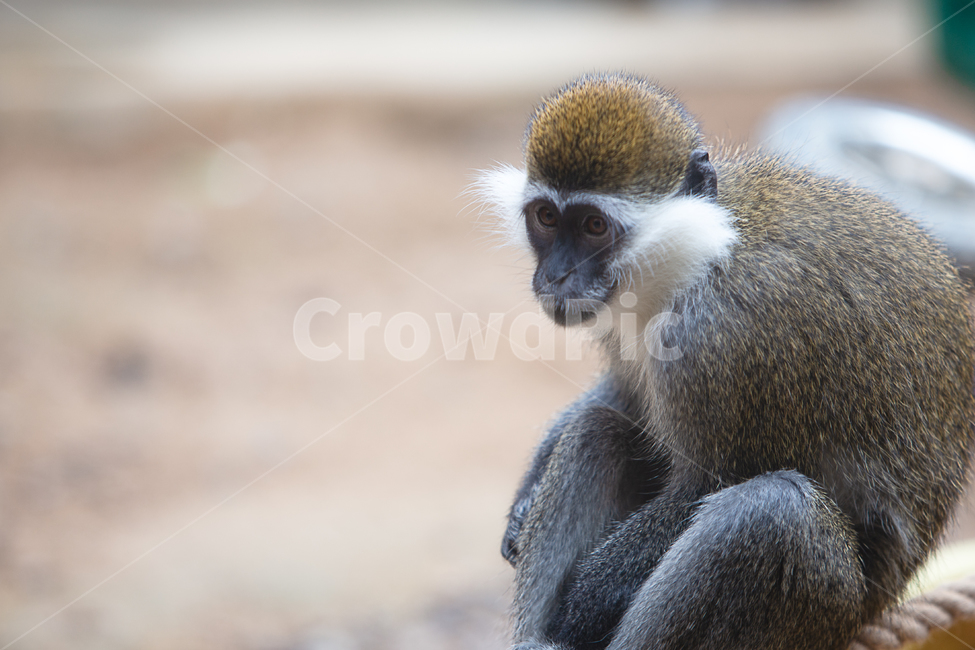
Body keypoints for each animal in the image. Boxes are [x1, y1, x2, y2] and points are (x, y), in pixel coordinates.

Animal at [476, 73, 975, 650]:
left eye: (595, 227)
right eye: (547, 218)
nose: (556, 276)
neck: (695, 258)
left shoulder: (720, 335)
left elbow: (703, 487)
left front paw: (582, 604)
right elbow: (623, 399)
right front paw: (527, 493)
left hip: (824, 614)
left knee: (773, 514)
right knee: (599, 431)